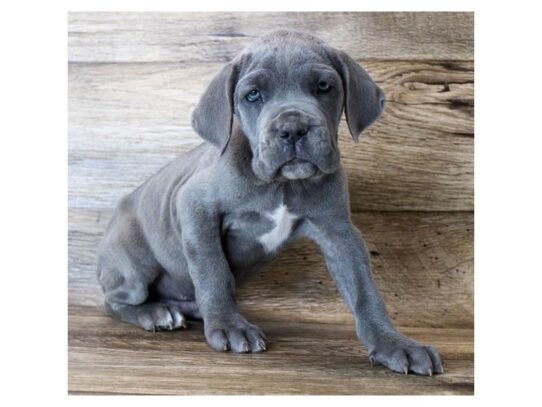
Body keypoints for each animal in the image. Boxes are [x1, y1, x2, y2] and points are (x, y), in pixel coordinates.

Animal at [98, 30, 446, 378]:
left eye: (324, 87)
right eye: (252, 95)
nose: (292, 129)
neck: (283, 184)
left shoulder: (339, 232)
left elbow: (364, 291)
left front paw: (394, 344)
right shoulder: (195, 207)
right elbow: (214, 272)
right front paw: (229, 326)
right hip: (134, 266)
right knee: (115, 301)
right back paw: (155, 314)